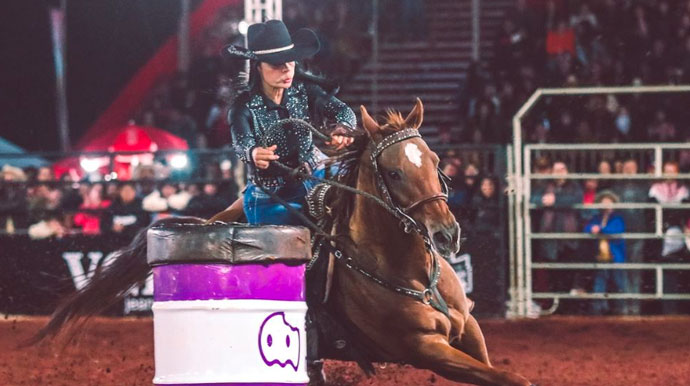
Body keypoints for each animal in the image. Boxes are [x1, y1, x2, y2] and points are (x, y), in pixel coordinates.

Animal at [33, 100, 532, 386]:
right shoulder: (423, 349)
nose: (447, 234)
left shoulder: (469, 329)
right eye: (392, 172)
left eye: (434, 160)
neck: (405, 271)